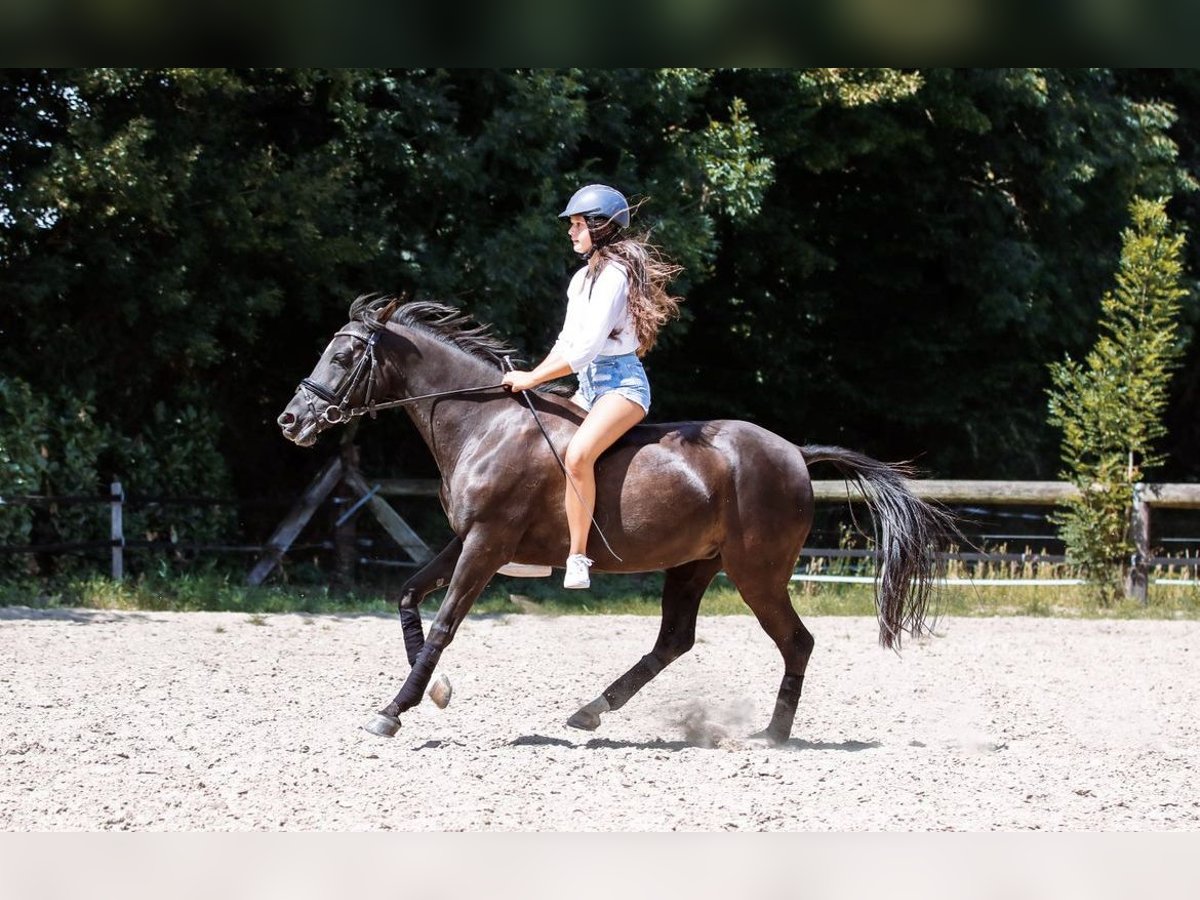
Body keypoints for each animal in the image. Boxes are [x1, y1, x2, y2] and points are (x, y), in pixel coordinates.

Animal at [276, 297, 950, 748]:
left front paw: (392, 710)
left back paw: (771, 735)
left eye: (342, 355)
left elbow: (444, 624)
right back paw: (591, 710)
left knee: (795, 641)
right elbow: (408, 595)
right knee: (674, 640)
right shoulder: (467, 539)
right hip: (694, 566)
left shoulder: (488, 543)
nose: (291, 421)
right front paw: (433, 693)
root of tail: (794, 454)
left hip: (755, 573)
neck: (484, 425)